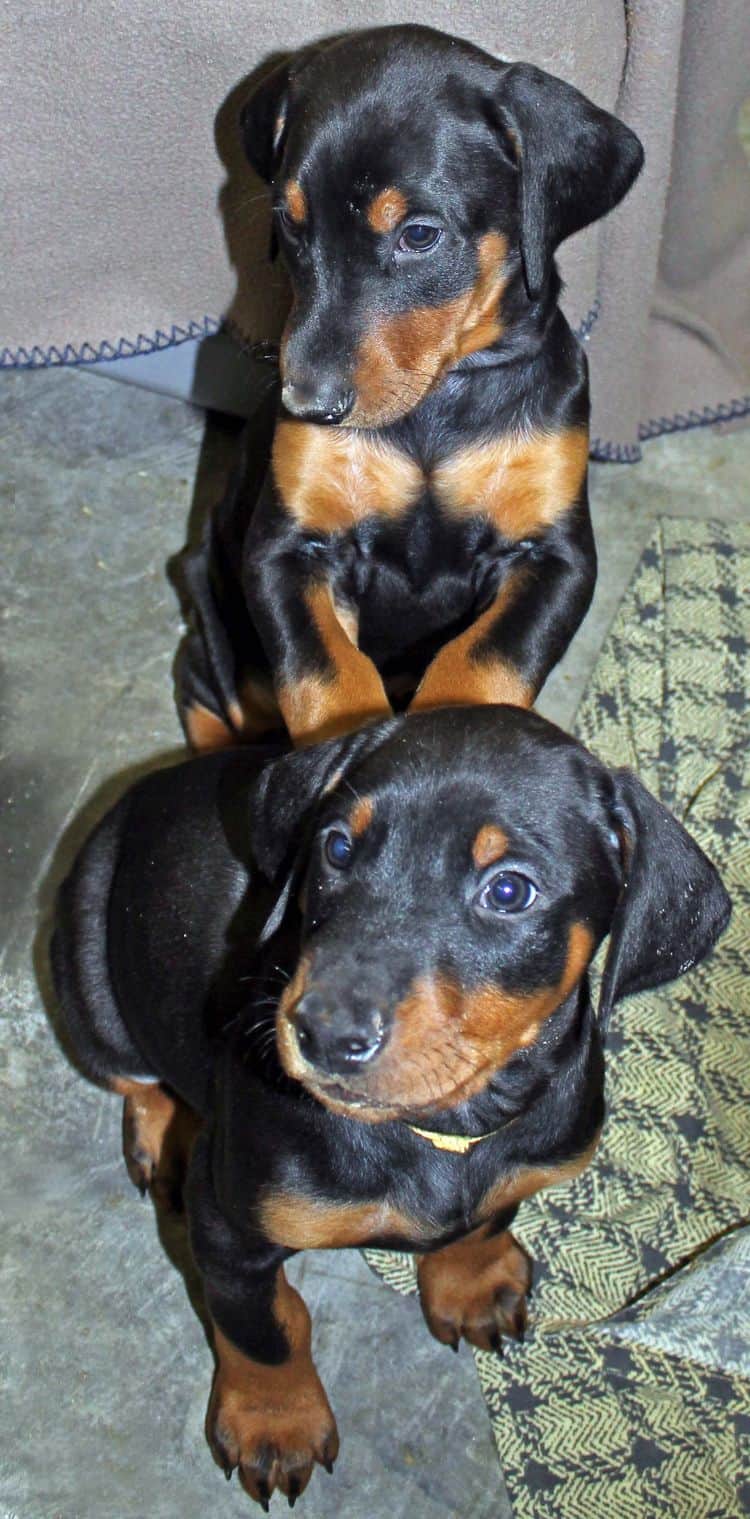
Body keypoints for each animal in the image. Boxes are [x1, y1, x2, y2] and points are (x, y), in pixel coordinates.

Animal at [48, 710, 725, 1506]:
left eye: (509, 890)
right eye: (338, 847)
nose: (322, 1033)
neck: (443, 1127)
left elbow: (489, 1214)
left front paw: (471, 1280)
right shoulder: (228, 1223)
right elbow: (261, 1331)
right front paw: (274, 1424)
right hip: (87, 978)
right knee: (133, 1073)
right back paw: (163, 1135)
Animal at [176, 26, 643, 750]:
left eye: (419, 234)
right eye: (290, 223)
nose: (306, 405)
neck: (437, 403)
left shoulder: (555, 555)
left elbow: (484, 660)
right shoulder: (288, 551)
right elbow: (326, 674)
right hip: (208, 624)